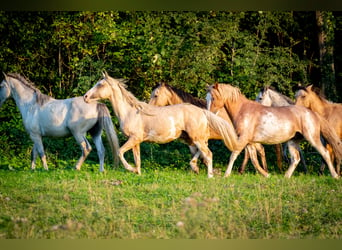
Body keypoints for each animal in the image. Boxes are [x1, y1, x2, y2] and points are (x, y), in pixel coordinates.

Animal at [83, 72, 242, 178]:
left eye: (100, 84)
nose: (85, 97)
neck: (130, 112)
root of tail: (202, 111)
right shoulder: (136, 142)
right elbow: (137, 159)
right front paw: (138, 172)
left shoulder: (134, 139)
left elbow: (120, 152)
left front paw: (131, 169)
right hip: (194, 138)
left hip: (197, 138)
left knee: (208, 154)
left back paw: (210, 176)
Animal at [206, 83, 342, 179]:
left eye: (213, 97)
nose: (208, 113)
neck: (243, 110)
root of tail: (313, 113)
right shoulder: (249, 142)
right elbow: (254, 160)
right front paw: (266, 174)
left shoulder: (243, 139)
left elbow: (234, 155)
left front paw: (226, 174)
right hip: (292, 141)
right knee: (296, 158)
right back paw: (286, 177)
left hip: (312, 138)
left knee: (325, 153)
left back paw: (335, 176)